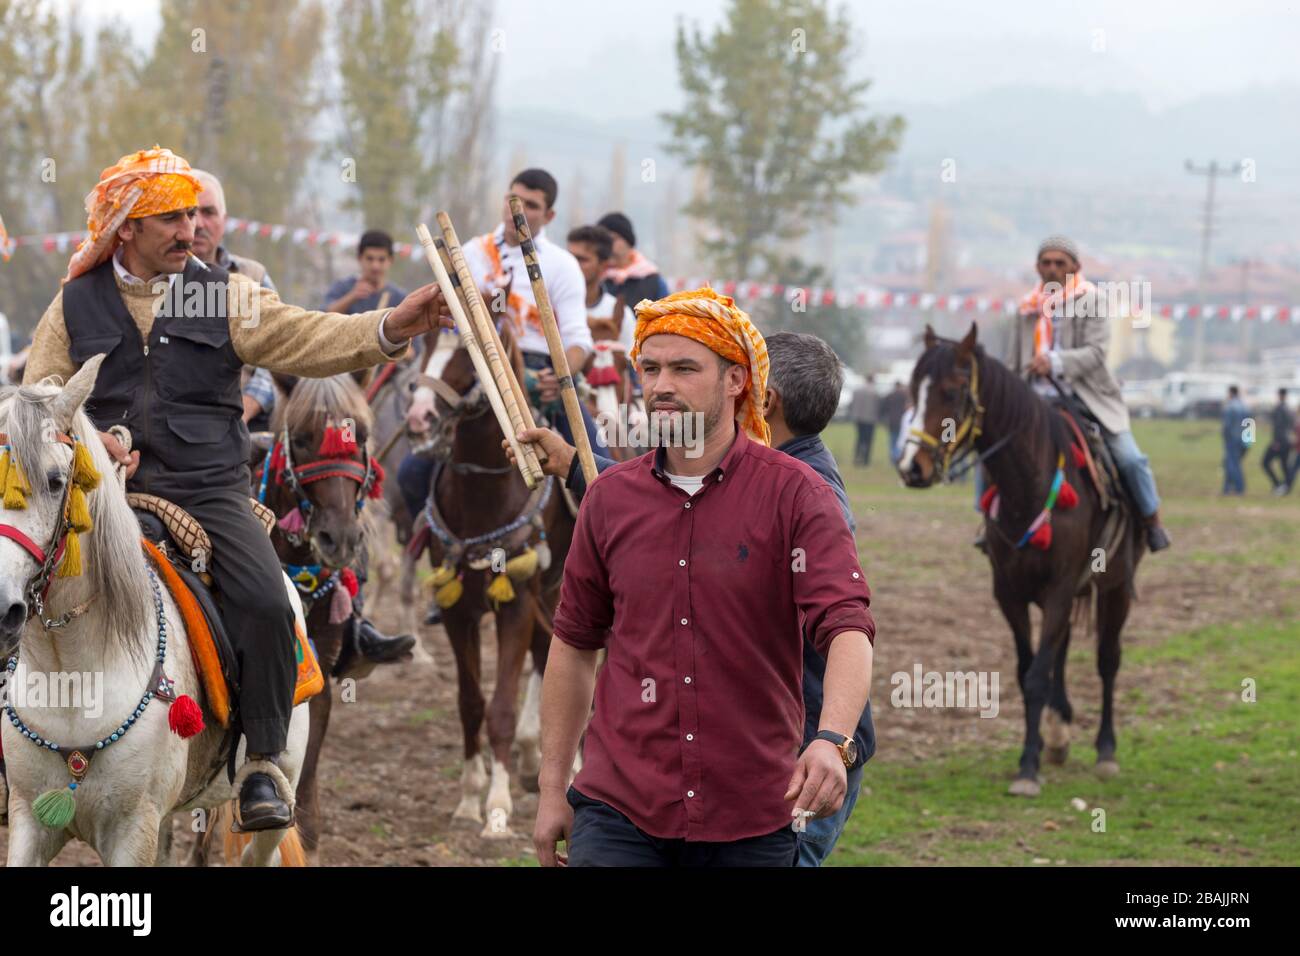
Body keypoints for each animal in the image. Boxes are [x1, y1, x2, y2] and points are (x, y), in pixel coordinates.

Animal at [0, 358, 309, 868]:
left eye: (55, 480)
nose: (2, 607)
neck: (70, 675)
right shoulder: (30, 820)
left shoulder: (132, 830)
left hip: (284, 777)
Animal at [410, 323, 574, 837]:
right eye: (425, 343)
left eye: (467, 353)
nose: (420, 414)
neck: (485, 490)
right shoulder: (456, 611)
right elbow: (470, 704)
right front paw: (468, 798)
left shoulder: (516, 607)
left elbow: (501, 707)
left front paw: (498, 809)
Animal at [899, 325, 1144, 796]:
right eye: (912, 390)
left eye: (952, 391)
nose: (911, 467)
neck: (1029, 483)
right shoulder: (1010, 592)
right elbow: (1028, 669)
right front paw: (1038, 749)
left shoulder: (1061, 587)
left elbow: (1036, 678)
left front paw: (1028, 768)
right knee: (1061, 655)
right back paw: (1059, 733)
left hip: (1116, 587)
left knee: (1108, 660)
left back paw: (1105, 750)